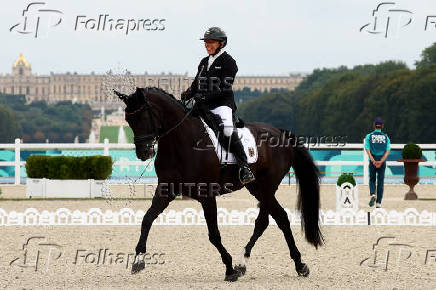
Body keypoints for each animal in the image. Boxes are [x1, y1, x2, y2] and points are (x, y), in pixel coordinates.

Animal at [117, 86, 322, 280]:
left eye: (143, 116)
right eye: (128, 120)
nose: (143, 153)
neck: (180, 141)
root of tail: (280, 132)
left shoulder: (207, 194)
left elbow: (214, 234)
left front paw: (229, 269)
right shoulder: (166, 190)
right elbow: (147, 219)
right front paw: (138, 260)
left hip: (267, 187)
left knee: (277, 219)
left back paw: (296, 264)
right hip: (257, 187)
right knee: (270, 219)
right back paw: (249, 263)